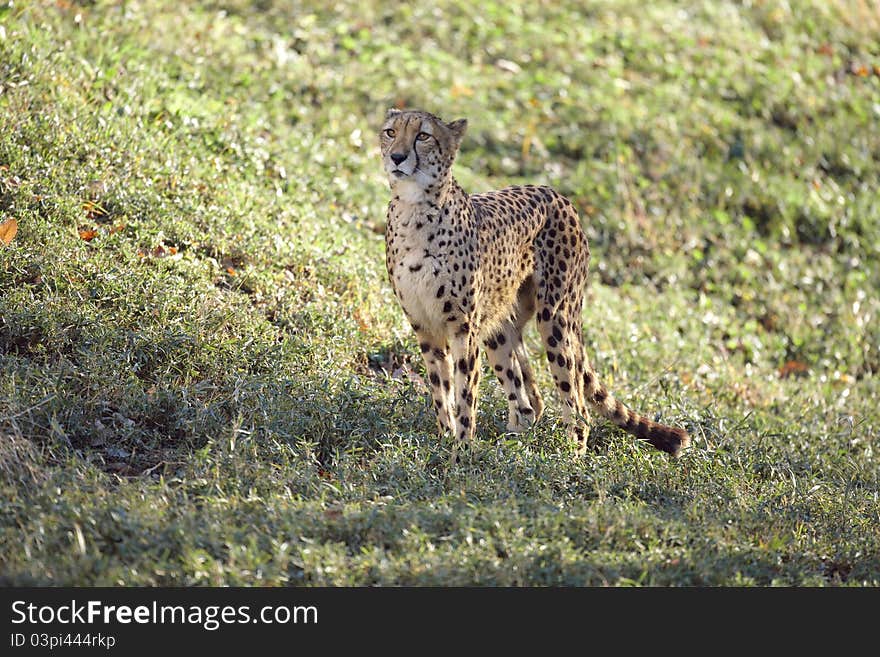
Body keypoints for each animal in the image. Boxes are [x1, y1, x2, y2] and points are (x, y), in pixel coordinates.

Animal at [378, 109, 688, 456]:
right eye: (391, 132)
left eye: (423, 136)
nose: (397, 157)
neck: (414, 208)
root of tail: (557, 194)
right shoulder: (425, 326)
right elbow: (440, 389)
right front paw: (446, 440)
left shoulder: (462, 327)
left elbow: (464, 393)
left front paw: (462, 450)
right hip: (499, 323)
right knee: (530, 401)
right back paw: (515, 444)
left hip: (555, 317)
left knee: (576, 403)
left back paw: (570, 457)